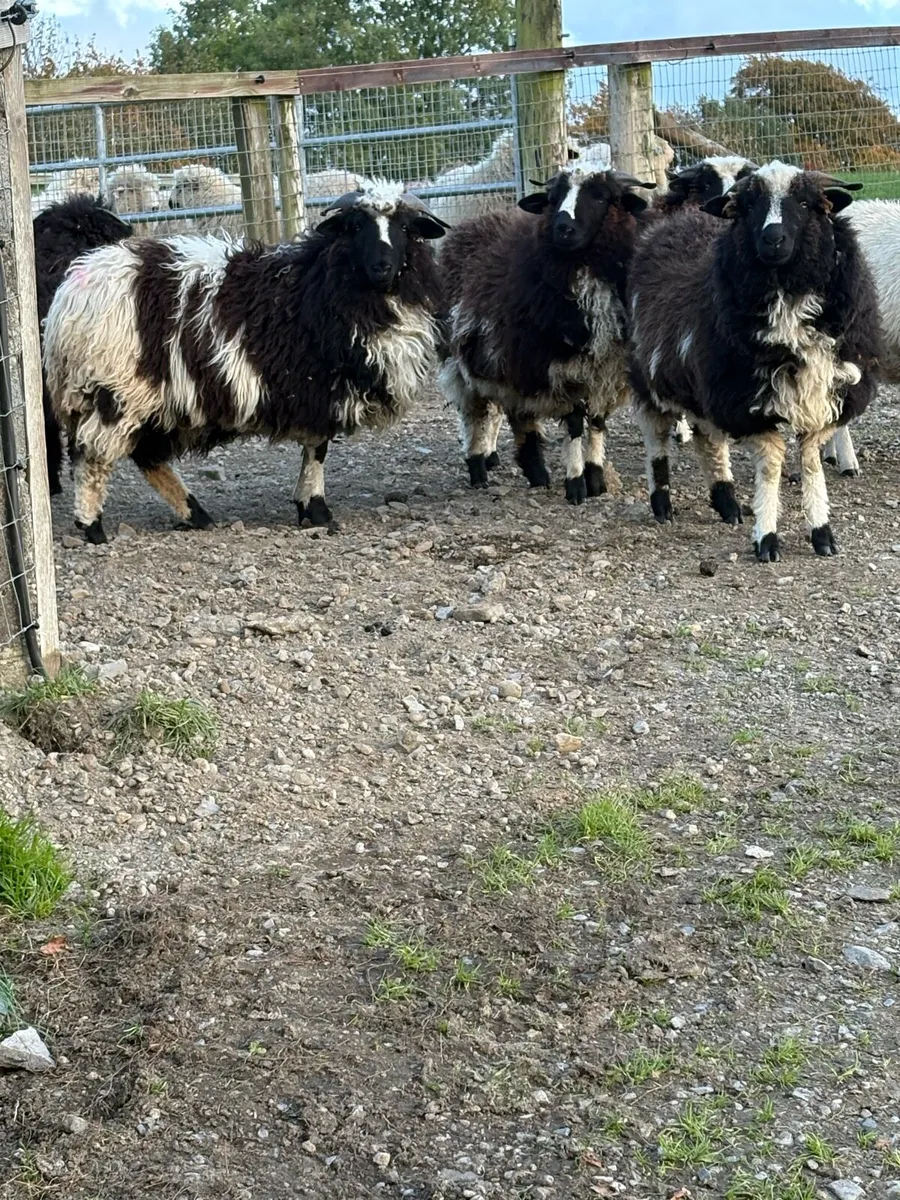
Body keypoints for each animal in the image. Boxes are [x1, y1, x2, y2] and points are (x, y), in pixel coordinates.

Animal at [43, 178, 449, 543]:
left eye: (404, 227)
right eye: (357, 226)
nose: (382, 267)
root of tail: (72, 290)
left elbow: (314, 450)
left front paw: (308, 506)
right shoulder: (317, 387)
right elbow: (317, 449)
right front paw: (316, 509)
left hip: (144, 399)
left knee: (146, 456)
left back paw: (194, 513)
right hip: (115, 390)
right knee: (94, 459)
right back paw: (93, 527)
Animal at [438, 168, 654, 502]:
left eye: (602, 197)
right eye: (554, 198)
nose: (563, 228)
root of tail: (472, 224)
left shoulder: (606, 369)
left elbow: (597, 422)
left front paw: (596, 479)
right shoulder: (564, 369)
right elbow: (576, 425)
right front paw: (576, 484)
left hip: (512, 362)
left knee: (518, 416)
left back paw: (536, 473)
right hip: (464, 360)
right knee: (475, 413)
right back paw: (477, 468)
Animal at [627, 161, 881, 561]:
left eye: (806, 203)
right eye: (748, 207)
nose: (773, 238)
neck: (788, 297)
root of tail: (679, 219)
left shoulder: (825, 395)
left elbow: (811, 462)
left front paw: (822, 532)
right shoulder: (744, 399)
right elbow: (772, 465)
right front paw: (767, 537)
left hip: (703, 382)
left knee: (708, 438)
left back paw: (726, 502)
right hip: (653, 373)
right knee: (656, 434)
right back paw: (662, 502)